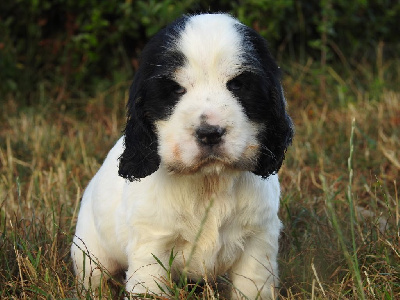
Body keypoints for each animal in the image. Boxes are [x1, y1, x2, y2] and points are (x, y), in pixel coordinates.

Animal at [71, 13, 294, 300]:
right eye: (176, 90)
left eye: (237, 85)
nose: (210, 133)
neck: (209, 184)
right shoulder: (151, 248)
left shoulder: (258, 240)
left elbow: (252, 285)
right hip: (89, 252)